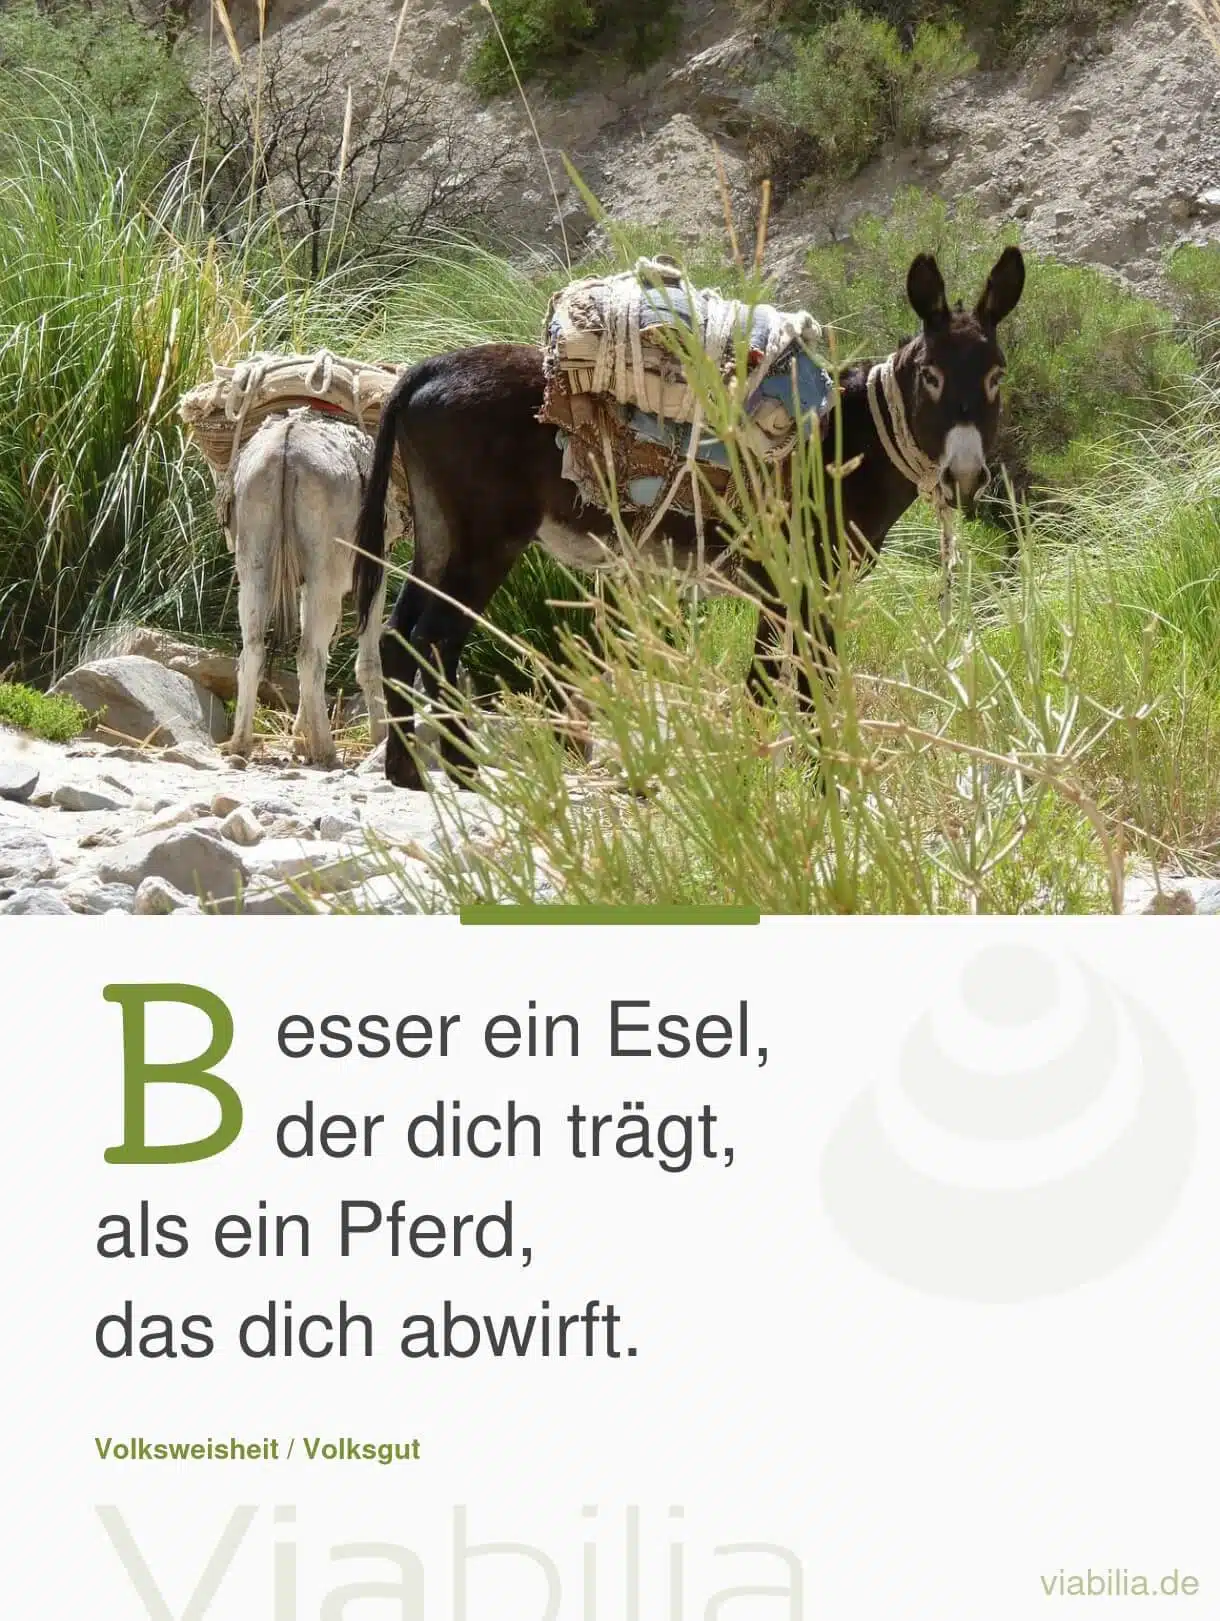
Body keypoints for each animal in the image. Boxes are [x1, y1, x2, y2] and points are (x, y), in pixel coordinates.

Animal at [352, 247, 1025, 790]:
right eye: (931, 376)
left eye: (997, 376)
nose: (964, 476)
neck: (848, 440)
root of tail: (430, 368)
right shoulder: (810, 585)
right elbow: (812, 686)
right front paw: (821, 785)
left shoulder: (782, 591)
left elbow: (766, 683)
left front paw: (762, 775)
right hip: (487, 539)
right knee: (436, 640)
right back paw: (464, 774)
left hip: (440, 532)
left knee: (396, 635)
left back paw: (409, 774)